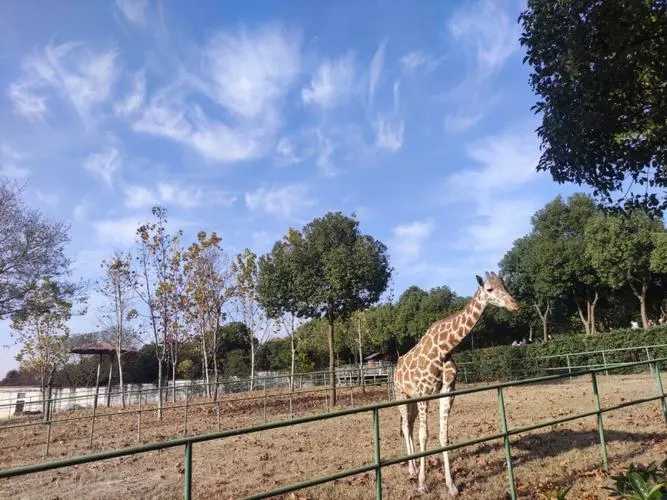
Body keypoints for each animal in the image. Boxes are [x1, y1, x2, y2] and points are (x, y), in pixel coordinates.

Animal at [394, 272, 520, 494]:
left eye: (504, 285)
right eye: (489, 289)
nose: (515, 305)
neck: (444, 348)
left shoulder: (447, 391)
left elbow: (444, 435)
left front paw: (451, 485)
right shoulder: (425, 393)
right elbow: (424, 435)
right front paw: (423, 484)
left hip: (412, 399)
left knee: (408, 424)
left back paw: (414, 467)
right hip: (401, 395)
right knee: (407, 428)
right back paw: (412, 471)